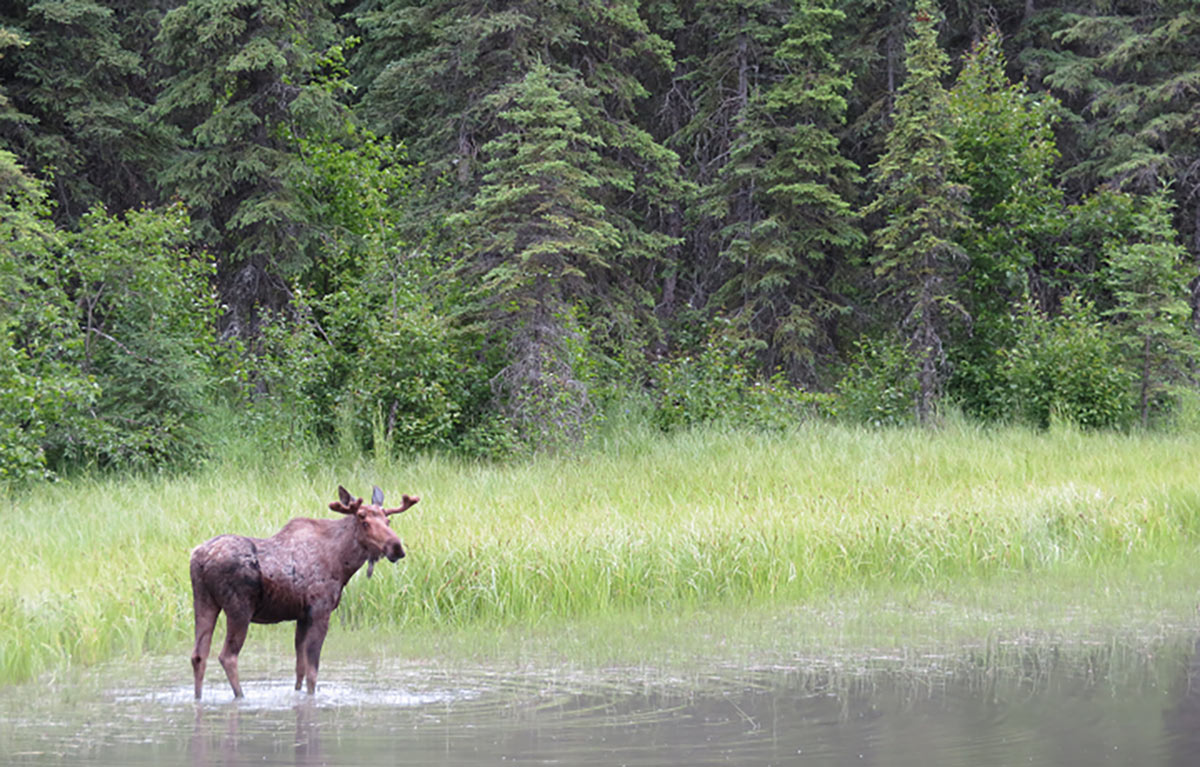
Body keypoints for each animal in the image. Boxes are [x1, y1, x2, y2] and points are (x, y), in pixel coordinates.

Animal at [189, 489, 420, 700]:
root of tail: (200, 559)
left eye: (388, 520)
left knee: (199, 655)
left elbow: (299, 668)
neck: (342, 563)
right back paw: (240, 696)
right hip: (239, 608)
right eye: (364, 521)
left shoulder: (302, 615)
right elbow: (312, 672)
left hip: (204, 601)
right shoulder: (320, 611)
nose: (396, 547)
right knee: (227, 656)